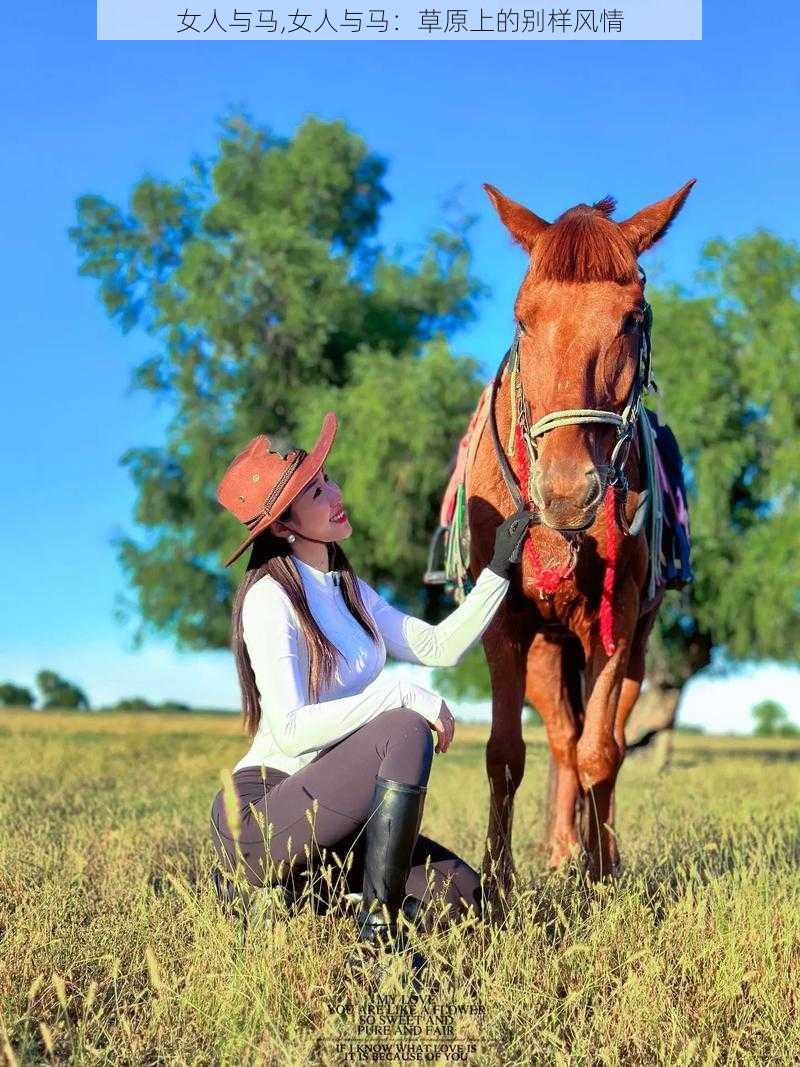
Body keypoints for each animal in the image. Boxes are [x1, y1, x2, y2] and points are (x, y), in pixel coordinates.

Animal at [467, 179, 699, 887]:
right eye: (522, 318)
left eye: (633, 318)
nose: (568, 492)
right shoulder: (504, 625)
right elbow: (506, 753)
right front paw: (497, 885)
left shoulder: (616, 622)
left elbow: (603, 751)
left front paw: (599, 883)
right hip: (546, 651)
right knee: (561, 737)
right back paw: (561, 848)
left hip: (637, 652)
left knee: (607, 738)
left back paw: (598, 853)